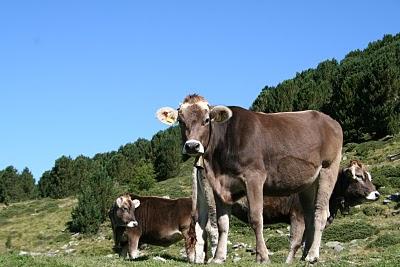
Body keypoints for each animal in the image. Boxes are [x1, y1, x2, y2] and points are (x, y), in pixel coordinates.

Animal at [155, 94, 340, 264]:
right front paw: (219, 257)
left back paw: (312, 255)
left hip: (328, 167)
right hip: (308, 182)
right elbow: (222, 223)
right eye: (180, 121)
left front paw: (263, 256)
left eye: (206, 120)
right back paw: (304, 255)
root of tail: (329, 119)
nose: (192, 146)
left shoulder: (254, 178)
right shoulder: (219, 185)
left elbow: (256, 218)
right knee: (309, 215)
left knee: (320, 212)